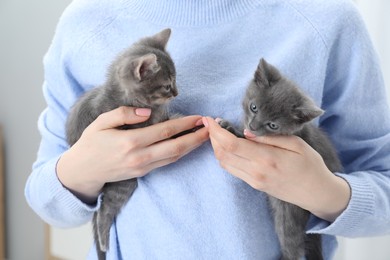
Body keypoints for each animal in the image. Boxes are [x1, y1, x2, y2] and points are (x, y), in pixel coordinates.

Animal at [66, 28, 178, 260]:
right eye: (167, 86)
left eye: (175, 80)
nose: (176, 93)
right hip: (123, 182)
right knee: (105, 210)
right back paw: (104, 241)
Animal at [219, 58, 342, 260]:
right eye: (254, 107)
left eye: (273, 125)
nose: (252, 126)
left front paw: (230, 128)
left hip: (289, 210)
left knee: (294, 245)